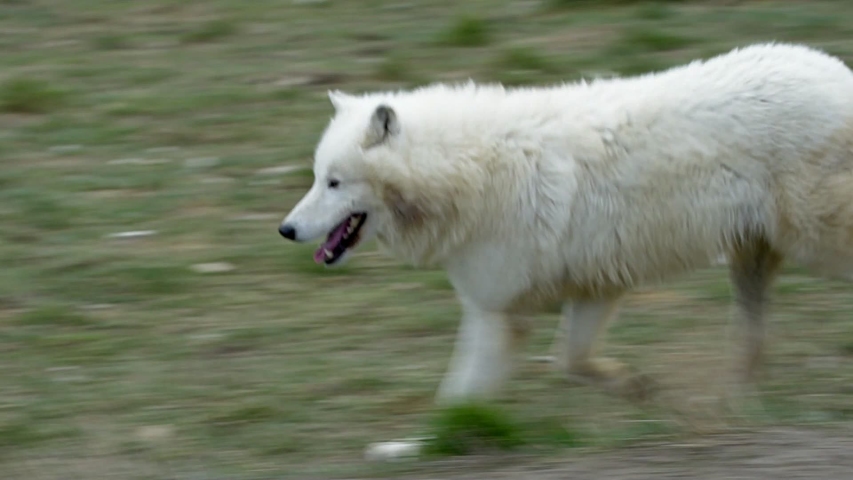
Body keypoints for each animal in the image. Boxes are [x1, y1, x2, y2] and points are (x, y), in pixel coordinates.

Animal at [282, 44, 853, 458]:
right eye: (316, 177)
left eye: (334, 183)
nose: (286, 229)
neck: (465, 171)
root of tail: (837, 73)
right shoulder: (593, 289)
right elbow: (569, 363)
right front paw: (639, 388)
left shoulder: (498, 314)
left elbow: (457, 401)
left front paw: (417, 449)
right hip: (752, 257)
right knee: (751, 342)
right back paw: (733, 405)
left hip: (811, 238)